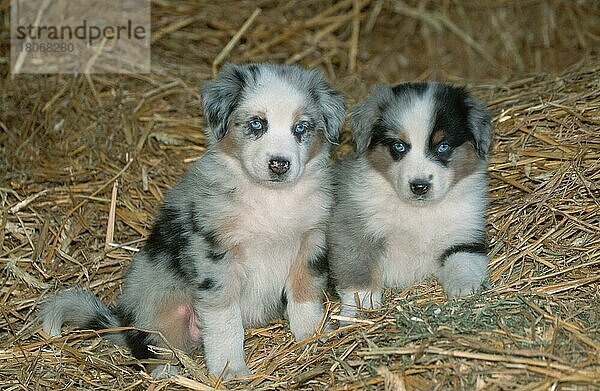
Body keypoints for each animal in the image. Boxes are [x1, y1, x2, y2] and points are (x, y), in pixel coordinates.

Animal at [39, 63, 344, 380]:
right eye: (257, 124)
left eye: (301, 128)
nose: (279, 164)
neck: (272, 198)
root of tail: (123, 323)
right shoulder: (216, 256)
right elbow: (225, 321)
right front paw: (230, 370)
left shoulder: (311, 243)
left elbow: (305, 296)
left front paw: (313, 336)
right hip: (164, 307)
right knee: (156, 346)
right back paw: (167, 373)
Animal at [328, 82, 492, 322]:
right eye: (399, 146)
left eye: (443, 146)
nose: (419, 186)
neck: (418, 212)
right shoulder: (352, 232)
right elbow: (358, 273)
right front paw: (362, 307)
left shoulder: (465, 235)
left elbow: (464, 261)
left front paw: (464, 290)